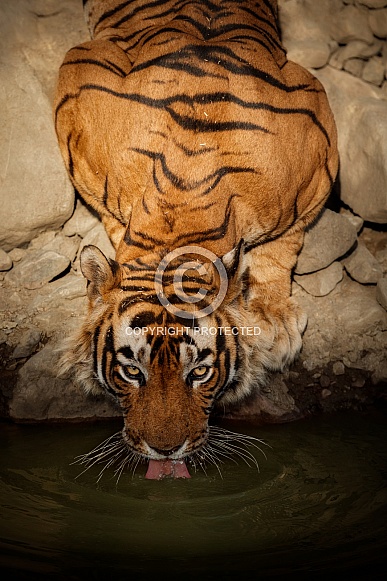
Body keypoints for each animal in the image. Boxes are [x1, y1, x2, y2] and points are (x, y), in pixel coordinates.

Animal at [53, 0, 338, 478]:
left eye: (200, 373)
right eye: (132, 372)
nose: (165, 450)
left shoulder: (320, 151)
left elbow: (284, 245)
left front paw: (274, 322)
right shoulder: (79, 80)